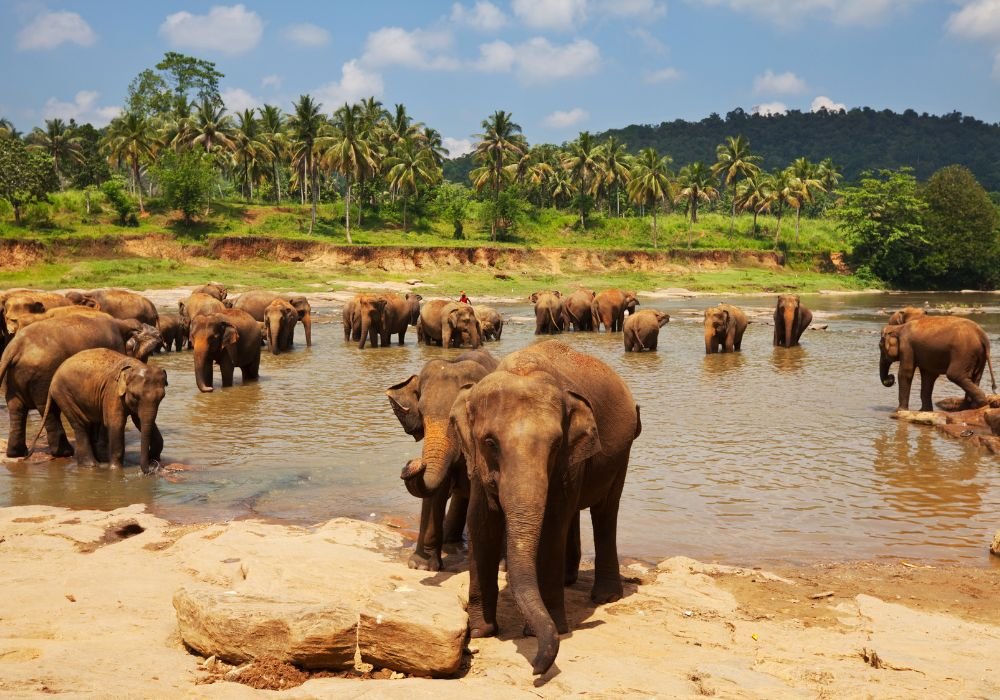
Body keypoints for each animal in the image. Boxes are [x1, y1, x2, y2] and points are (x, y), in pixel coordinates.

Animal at [0, 314, 152, 458]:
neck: (121, 323)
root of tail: (15, 346)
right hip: (42, 375)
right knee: (49, 409)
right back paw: (65, 452)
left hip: (15, 377)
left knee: (16, 408)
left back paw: (16, 453)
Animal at [31, 349, 167, 473]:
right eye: (135, 396)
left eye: (162, 397)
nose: (151, 469)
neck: (134, 366)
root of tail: (53, 378)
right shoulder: (112, 392)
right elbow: (116, 424)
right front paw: (115, 470)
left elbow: (140, 421)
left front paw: (154, 458)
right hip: (63, 394)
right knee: (80, 425)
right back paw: (91, 465)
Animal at [386, 349, 499, 571]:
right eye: (421, 413)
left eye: (456, 419)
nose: (414, 462)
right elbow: (435, 492)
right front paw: (421, 565)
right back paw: (450, 542)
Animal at [451, 340, 641, 676]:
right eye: (490, 443)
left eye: (555, 445)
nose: (537, 668)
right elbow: (481, 524)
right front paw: (481, 630)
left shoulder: (569, 460)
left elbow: (553, 525)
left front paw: (554, 629)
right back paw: (570, 581)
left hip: (622, 452)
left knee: (606, 512)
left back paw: (605, 597)